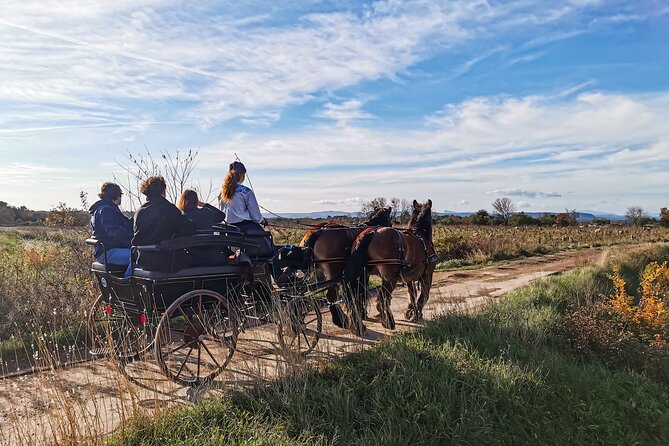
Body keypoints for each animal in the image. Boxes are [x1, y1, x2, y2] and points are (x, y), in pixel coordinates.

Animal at [344, 199, 438, 334]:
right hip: (390, 279)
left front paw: (411, 311)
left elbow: (412, 294)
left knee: (357, 298)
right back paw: (388, 321)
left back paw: (359, 326)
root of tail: (372, 232)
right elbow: (424, 295)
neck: (421, 235)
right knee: (383, 298)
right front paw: (416, 313)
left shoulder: (409, 278)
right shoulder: (427, 274)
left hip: (364, 276)